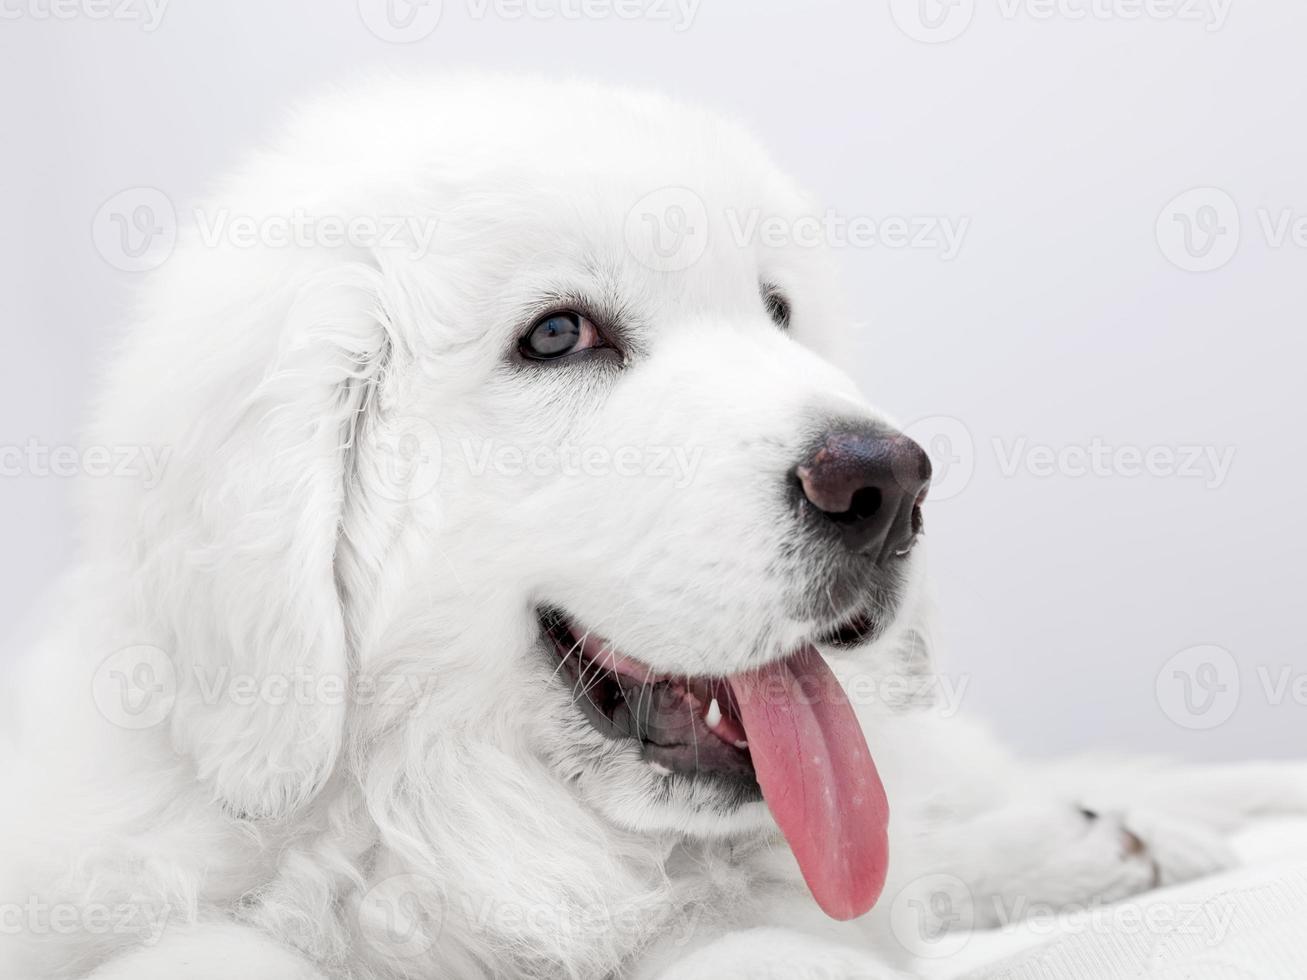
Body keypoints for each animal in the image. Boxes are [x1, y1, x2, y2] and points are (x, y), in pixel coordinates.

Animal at [2, 76, 1307, 980]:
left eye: (777, 311)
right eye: (557, 336)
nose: (886, 482)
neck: (451, 828)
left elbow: (787, 932)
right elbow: (216, 946)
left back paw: (1127, 832)